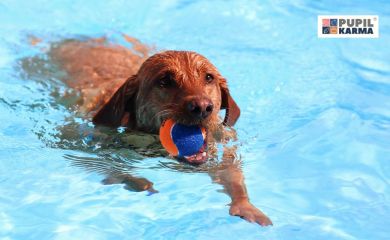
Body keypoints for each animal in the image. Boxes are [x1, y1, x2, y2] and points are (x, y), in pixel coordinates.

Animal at [34, 35, 272, 225]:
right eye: (165, 81)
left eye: (209, 77)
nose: (203, 107)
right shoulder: (78, 141)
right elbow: (106, 165)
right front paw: (138, 182)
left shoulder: (224, 148)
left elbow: (232, 174)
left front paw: (245, 206)